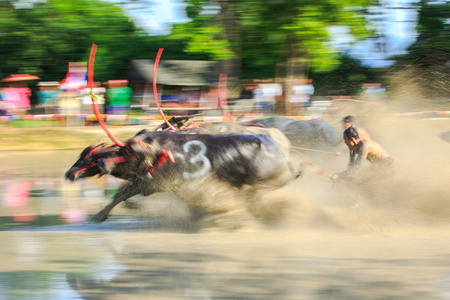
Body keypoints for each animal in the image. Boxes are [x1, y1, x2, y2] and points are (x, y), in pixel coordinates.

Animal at [65, 130, 302, 229]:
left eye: (88, 158)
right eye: (81, 155)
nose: (70, 174)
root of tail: (286, 159)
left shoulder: (152, 184)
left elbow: (120, 194)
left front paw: (98, 216)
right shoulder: (150, 184)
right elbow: (121, 194)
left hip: (260, 185)